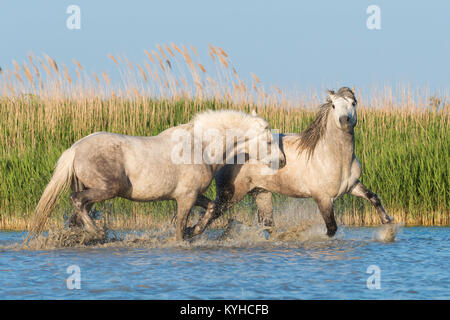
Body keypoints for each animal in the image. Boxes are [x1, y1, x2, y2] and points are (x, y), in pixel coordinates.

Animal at [25, 110, 284, 242]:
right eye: (269, 141)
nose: (282, 161)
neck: (200, 147)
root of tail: (76, 148)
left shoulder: (191, 194)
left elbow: (210, 209)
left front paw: (194, 232)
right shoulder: (186, 197)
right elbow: (180, 226)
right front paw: (184, 237)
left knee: (76, 215)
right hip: (107, 190)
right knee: (77, 202)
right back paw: (97, 232)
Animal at [193, 87, 394, 238]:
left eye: (353, 103)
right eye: (334, 105)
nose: (345, 120)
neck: (334, 158)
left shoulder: (352, 186)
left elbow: (373, 197)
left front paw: (388, 227)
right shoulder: (322, 198)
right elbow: (331, 228)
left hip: (261, 192)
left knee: (268, 224)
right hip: (230, 195)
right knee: (209, 215)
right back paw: (191, 233)